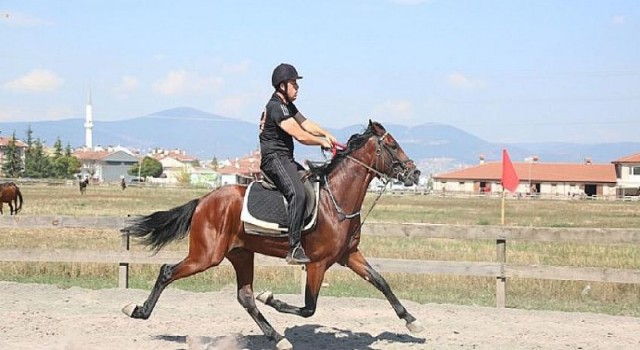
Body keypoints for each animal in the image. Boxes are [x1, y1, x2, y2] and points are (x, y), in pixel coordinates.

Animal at [122, 121, 424, 350]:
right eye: (392, 145)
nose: (415, 173)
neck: (336, 200)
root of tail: (204, 201)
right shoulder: (317, 264)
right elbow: (308, 308)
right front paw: (271, 298)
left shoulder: (348, 255)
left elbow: (381, 281)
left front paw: (411, 320)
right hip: (206, 256)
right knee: (167, 271)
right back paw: (137, 310)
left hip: (241, 254)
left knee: (245, 297)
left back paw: (277, 338)